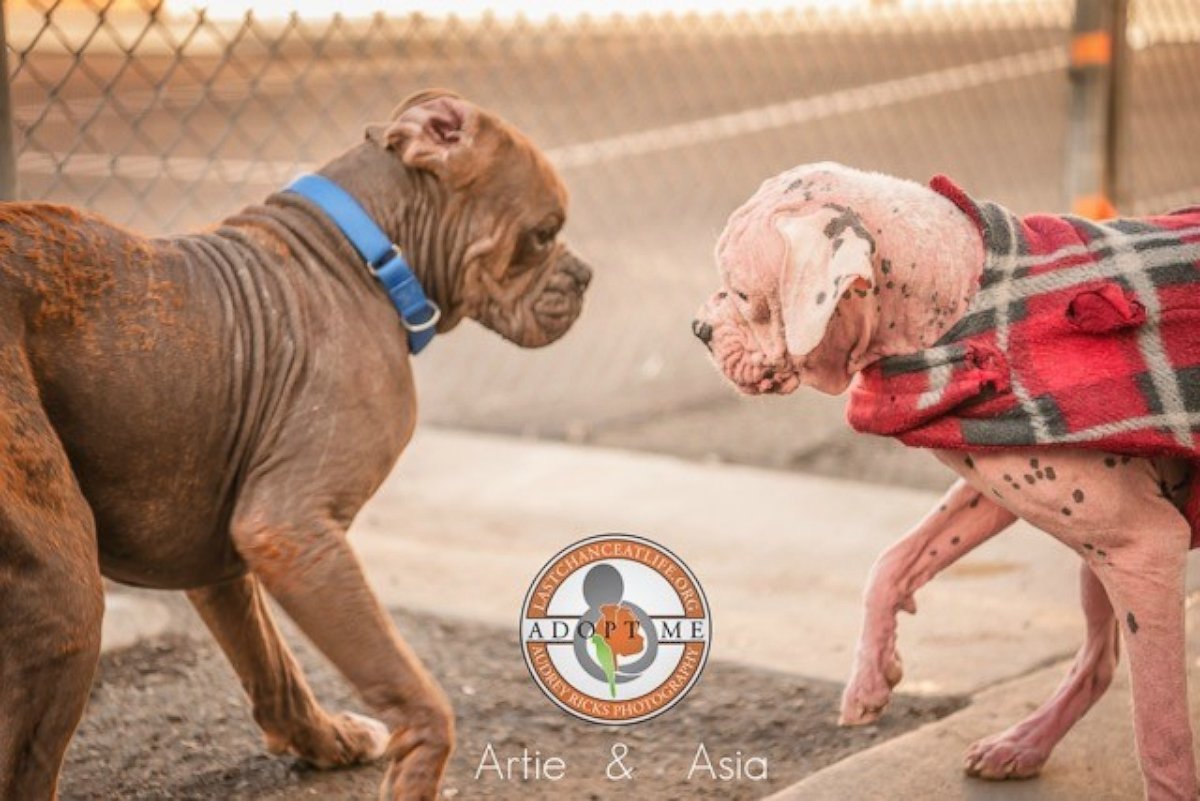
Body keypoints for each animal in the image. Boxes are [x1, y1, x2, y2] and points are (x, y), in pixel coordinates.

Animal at [0, 90, 590, 796]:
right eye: (543, 233)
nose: (586, 274)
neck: (368, 257)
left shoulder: (226, 560)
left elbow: (272, 668)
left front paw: (329, 741)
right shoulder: (293, 529)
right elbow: (416, 692)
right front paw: (416, 772)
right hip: (64, 595)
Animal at [691, 159, 1200, 796]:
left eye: (740, 293)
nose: (697, 328)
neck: (962, 302)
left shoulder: (1145, 545)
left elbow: (1161, 735)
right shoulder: (999, 487)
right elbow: (895, 560)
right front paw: (871, 676)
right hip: (1094, 563)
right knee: (1098, 662)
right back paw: (1023, 744)